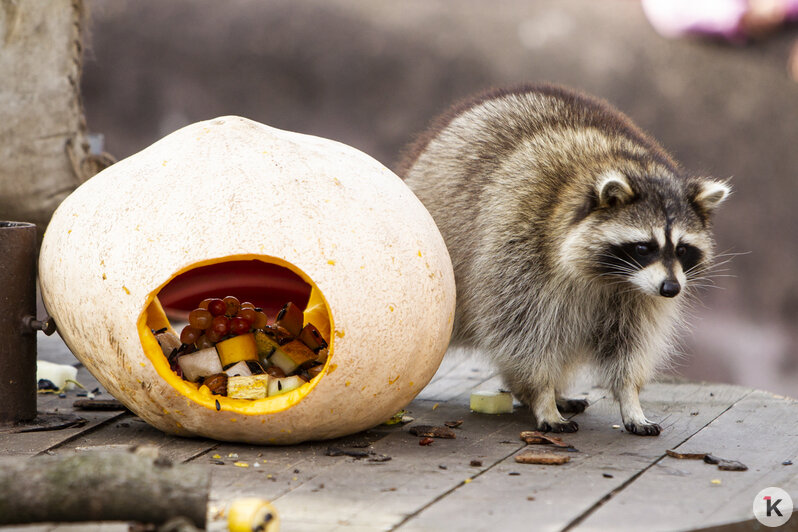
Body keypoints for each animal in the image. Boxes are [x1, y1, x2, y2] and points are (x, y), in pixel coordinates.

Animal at [400, 82, 732, 432]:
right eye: (644, 248)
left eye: (682, 249)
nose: (671, 289)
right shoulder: (519, 247)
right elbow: (523, 334)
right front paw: (542, 395)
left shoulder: (640, 296)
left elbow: (630, 344)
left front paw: (630, 397)